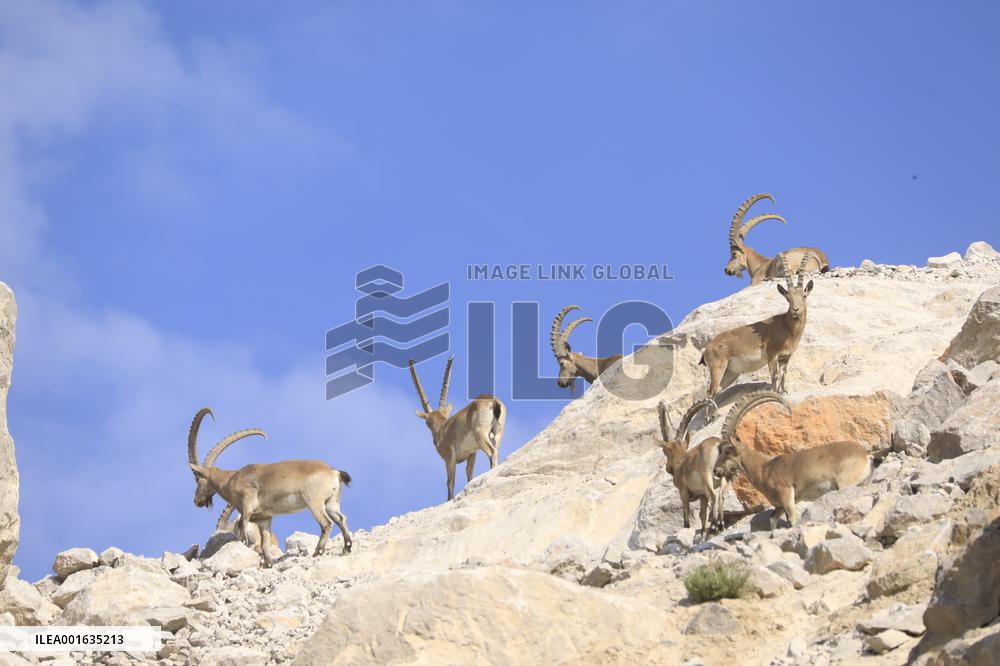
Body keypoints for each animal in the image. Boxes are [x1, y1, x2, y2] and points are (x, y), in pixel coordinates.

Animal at [187, 408, 353, 567]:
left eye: (197, 478)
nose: (196, 500)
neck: (230, 479)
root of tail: (333, 471)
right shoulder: (264, 518)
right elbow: (265, 544)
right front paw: (268, 564)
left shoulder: (247, 503)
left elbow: (243, 530)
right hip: (331, 502)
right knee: (341, 518)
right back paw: (346, 548)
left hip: (314, 501)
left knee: (326, 523)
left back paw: (318, 551)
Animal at [409, 356, 506, 501]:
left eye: (427, 423)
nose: (435, 442)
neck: (442, 428)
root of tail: (493, 402)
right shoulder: (472, 453)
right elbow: (469, 473)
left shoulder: (449, 457)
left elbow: (450, 481)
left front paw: (449, 499)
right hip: (498, 433)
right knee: (497, 451)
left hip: (481, 434)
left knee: (492, 452)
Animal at [654, 399, 731, 539]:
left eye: (665, 451)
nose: (668, 468)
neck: (681, 463)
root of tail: (718, 445)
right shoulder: (702, 496)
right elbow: (702, 515)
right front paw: (702, 534)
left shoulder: (683, 492)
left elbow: (686, 514)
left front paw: (687, 529)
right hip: (725, 476)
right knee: (721, 496)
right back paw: (721, 526)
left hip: (706, 476)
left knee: (714, 496)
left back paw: (713, 528)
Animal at [701, 252, 816, 397]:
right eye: (788, 297)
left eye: (804, 296)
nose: (795, 309)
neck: (787, 328)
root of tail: (707, 349)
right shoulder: (772, 354)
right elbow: (774, 375)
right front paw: (774, 393)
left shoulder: (785, 357)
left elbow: (783, 375)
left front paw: (784, 391)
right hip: (717, 367)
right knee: (710, 393)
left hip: (730, 372)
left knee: (715, 391)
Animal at [714, 390, 872, 529]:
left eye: (727, 451)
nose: (715, 470)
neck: (765, 469)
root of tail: (865, 454)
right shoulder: (779, 505)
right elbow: (772, 520)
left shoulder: (786, 494)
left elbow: (792, 519)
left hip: (845, 483)